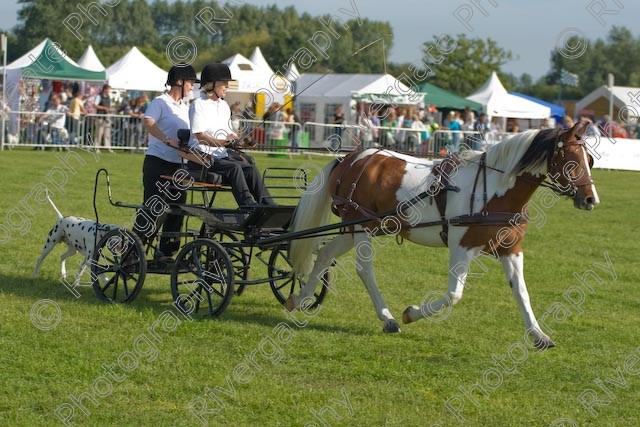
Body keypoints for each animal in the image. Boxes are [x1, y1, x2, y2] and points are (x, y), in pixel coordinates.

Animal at [288, 122, 596, 350]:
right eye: (571, 161)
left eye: (590, 160)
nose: (591, 199)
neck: (495, 189)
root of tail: (350, 158)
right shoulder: (462, 246)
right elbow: (453, 295)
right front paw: (411, 313)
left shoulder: (510, 248)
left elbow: (521, 291)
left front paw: (538, 334)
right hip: (361, 228)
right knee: (364, 269)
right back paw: (387, 318)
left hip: (360, 227)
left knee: (324, 254)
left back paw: (299, 298)